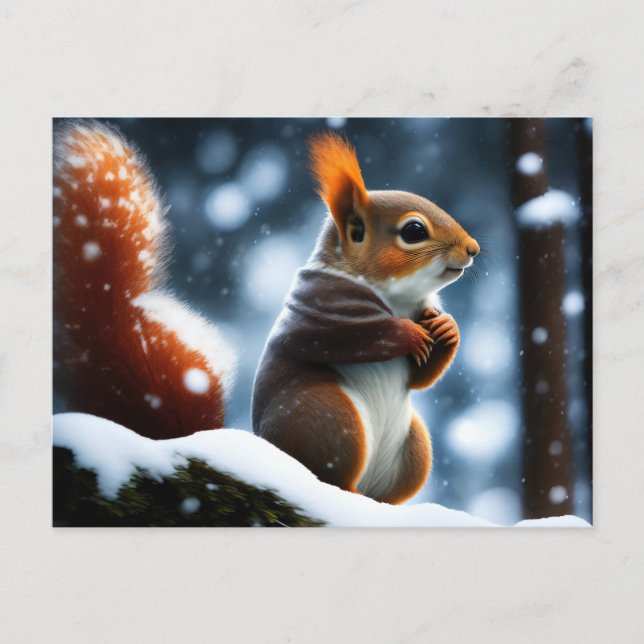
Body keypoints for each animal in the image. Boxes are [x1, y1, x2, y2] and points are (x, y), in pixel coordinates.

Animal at [54, 123, 478, 504]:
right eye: (413, 231)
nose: (473, 248)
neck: (398, 298)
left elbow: (421, 377)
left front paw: (446, 328)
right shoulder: (318, 310)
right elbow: (349, 338)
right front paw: (408, 333)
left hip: (413, 448)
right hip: (325, 416)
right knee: (334, 475)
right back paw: (348, 493)